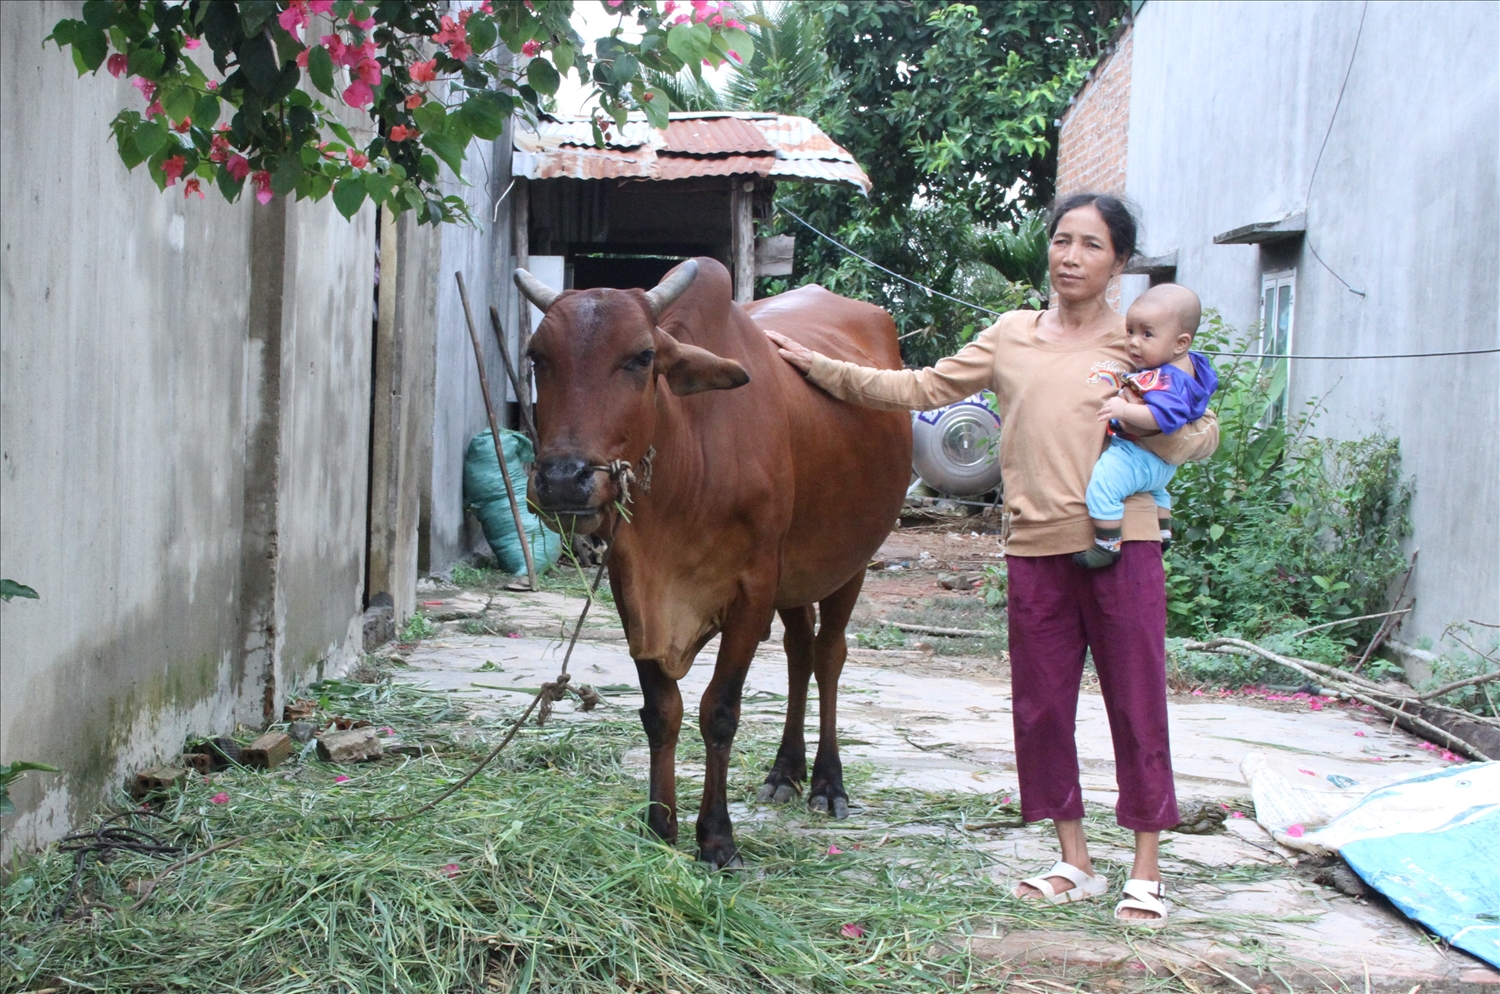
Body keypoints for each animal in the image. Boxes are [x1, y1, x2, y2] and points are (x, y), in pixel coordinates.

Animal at [516, 256, 906, 869]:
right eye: (538, 357)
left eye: (642, 357)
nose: (562, 479)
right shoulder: (634, 593)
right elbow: (662, 711)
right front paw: (659, 825)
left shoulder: (752, 592)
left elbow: (718, 712)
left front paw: (717, 838)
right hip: (794, 577)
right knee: (800, 651)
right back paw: (784, 772)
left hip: (850, 562)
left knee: (829, 656)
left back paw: (826, 782)